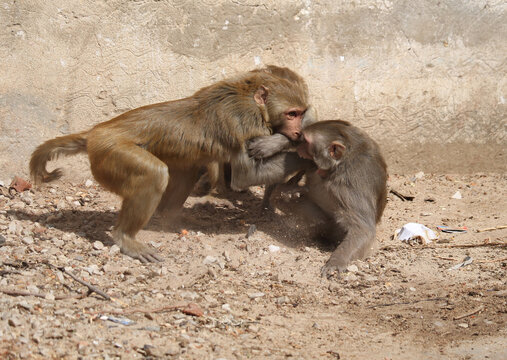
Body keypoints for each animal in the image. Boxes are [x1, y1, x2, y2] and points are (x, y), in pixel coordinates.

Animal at [31, 69, 312, 262]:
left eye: (300, 113)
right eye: (292, 114)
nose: (298, 131)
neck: (249, 97)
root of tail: (95, 132)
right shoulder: (246, 122)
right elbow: (244, 176)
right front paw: (305, 152)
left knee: (188, 167)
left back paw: (167, 218)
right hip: (110, 153)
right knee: (154, 174)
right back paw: (125, 237)